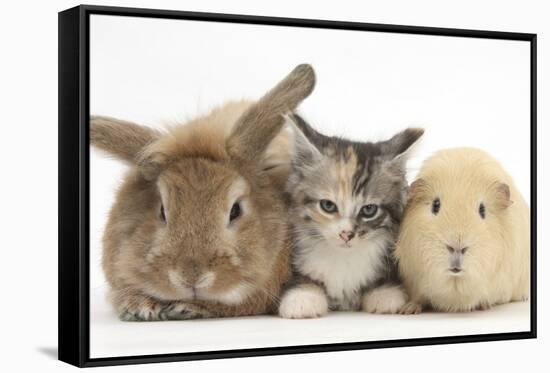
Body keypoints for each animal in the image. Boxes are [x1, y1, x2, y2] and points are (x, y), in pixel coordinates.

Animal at [280, 115, 426, 316]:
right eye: (328, 206)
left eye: (369, 210)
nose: (346, 234)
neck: (343, 257)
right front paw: (303, 298)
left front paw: (385, 294)